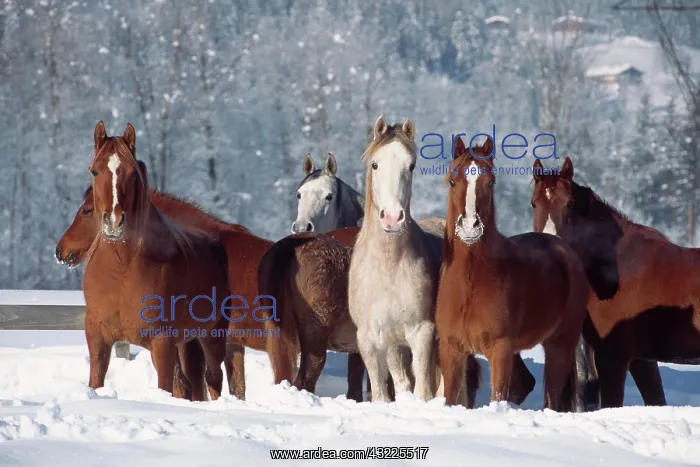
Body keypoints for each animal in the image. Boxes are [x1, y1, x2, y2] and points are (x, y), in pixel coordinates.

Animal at [435, 136, 589, 411]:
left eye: (491, 182)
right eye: (452, 180)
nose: (470, 227)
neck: (470, 283)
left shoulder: (500, 350)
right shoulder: (451, 350)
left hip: (560, 345)